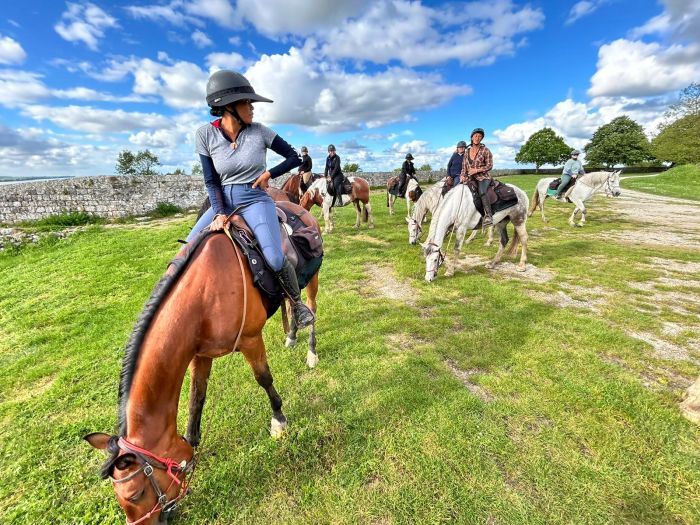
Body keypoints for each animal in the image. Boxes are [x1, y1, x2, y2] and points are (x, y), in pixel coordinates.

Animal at [84, 200, 320, 520]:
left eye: (136, 494)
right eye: (121, 500)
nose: (159, 520)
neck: (204, 294)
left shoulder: (250, 340)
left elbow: (264, 379)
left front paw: (279, 421)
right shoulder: (201, 354)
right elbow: (197, 398)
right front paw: (193, 445)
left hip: (312, 280)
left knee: (310, 308)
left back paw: (311, 350)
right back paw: (292, 336)